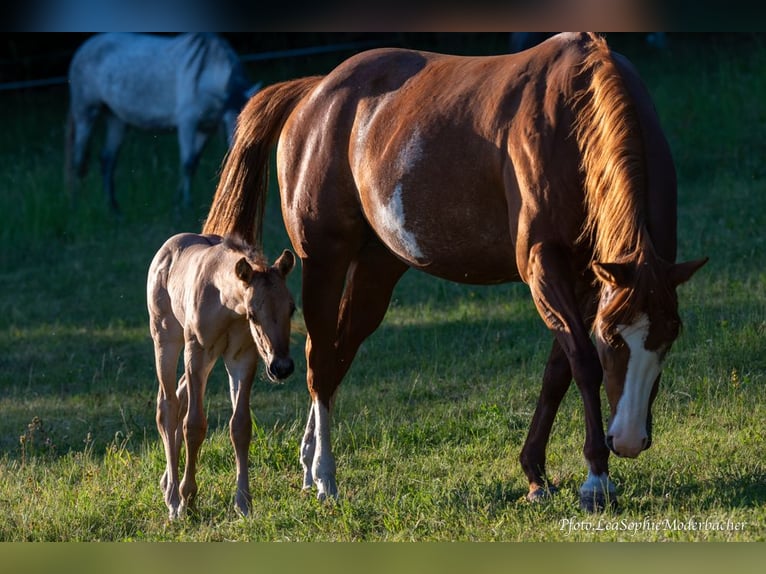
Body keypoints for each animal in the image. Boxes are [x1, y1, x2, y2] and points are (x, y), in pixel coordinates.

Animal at [66, 33, 259, 213]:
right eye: (229, 121)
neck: (207, 73)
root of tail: (84, 48)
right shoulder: (187, 122)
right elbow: (188, 164)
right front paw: (185, 206)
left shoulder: (205, 129)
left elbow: (194, 163)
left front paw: (177, 202)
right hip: (85, 113)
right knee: (78, 160)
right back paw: (76, 204)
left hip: (116, 119)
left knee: (107, 160)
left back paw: (113, 209)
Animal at [147, 232, 296, 519]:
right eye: (253, 314)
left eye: (292, 308)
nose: (281, 367)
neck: (225, 302)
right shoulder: (196, 352)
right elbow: (194, 425)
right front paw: (187, 499)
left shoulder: (242, 357)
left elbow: (240, 426)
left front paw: (244, 503)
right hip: (165, 337)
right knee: (167, 406)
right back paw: (172, 499)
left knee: (178, 396)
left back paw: (166, 484)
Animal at [201, 32, 707, 511]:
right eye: (613, 340)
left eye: (669, 336)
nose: (629, 439)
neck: (572, 118)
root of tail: (315, 92)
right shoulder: (544, 266)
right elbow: (583, 365)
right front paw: (596, 480)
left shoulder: (589, 280)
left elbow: (557, 371)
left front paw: (536, 475)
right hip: (324, 261)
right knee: (321, 361)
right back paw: (325, 478)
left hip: (377, 269)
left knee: (338, 355)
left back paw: (309, 467)